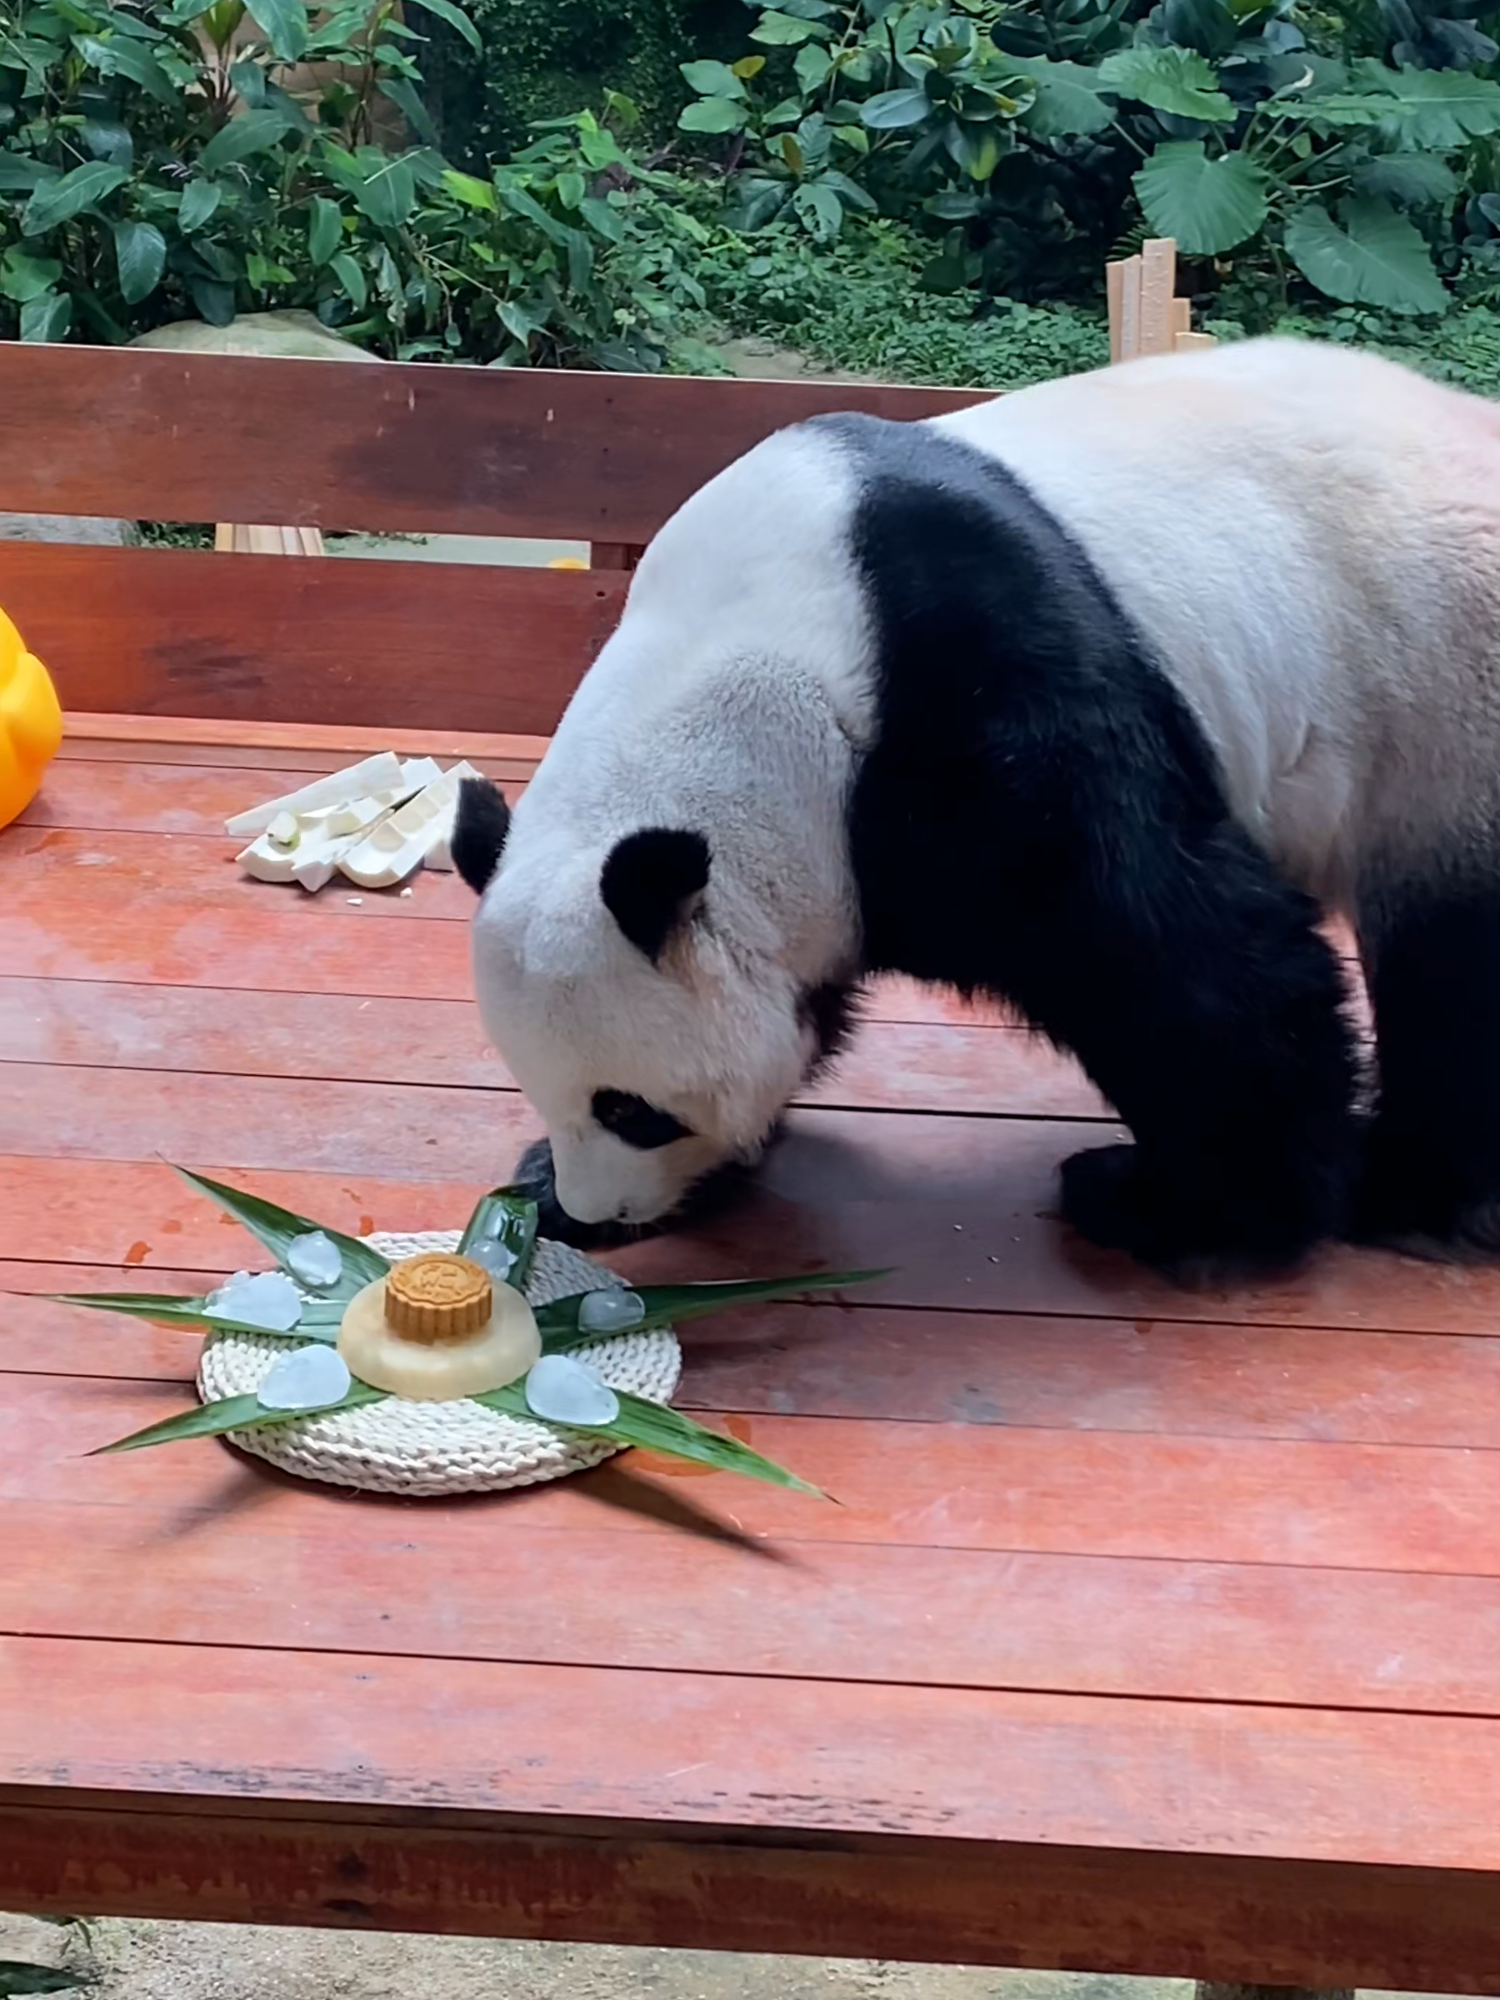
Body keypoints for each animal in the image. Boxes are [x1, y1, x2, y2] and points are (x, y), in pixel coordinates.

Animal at [452, 338, 1500, 1280]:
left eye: (631, 1109)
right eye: (542, 1089)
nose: (603, 1209)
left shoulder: (975, 703)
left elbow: (1175, 953)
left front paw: (1198, 1213)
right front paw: (548, 1190)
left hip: (1443, 707)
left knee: (1452, 960)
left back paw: (1413, 1195)